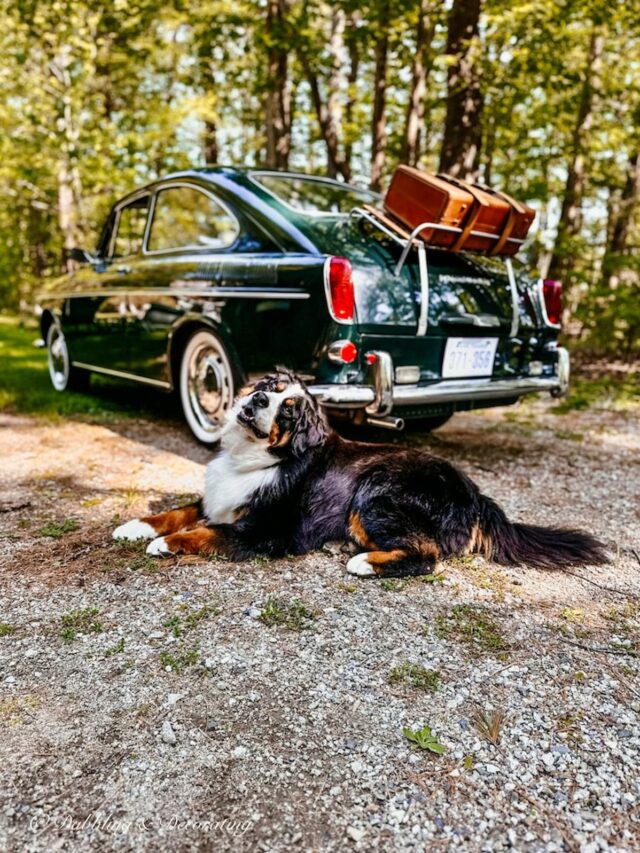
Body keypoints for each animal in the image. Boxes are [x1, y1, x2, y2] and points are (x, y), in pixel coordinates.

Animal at [112, 370, 608, 576]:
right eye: (270, 387)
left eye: (289, 411)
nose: (257, 401)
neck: (255, 457)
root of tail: (475, 493)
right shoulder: (219, 496)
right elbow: (179, 511)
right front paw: (137, 526)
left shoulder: (269, 530)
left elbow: (206, 532)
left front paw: (165, 544)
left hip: (375, 493)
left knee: (426, 555)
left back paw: (364, 561)